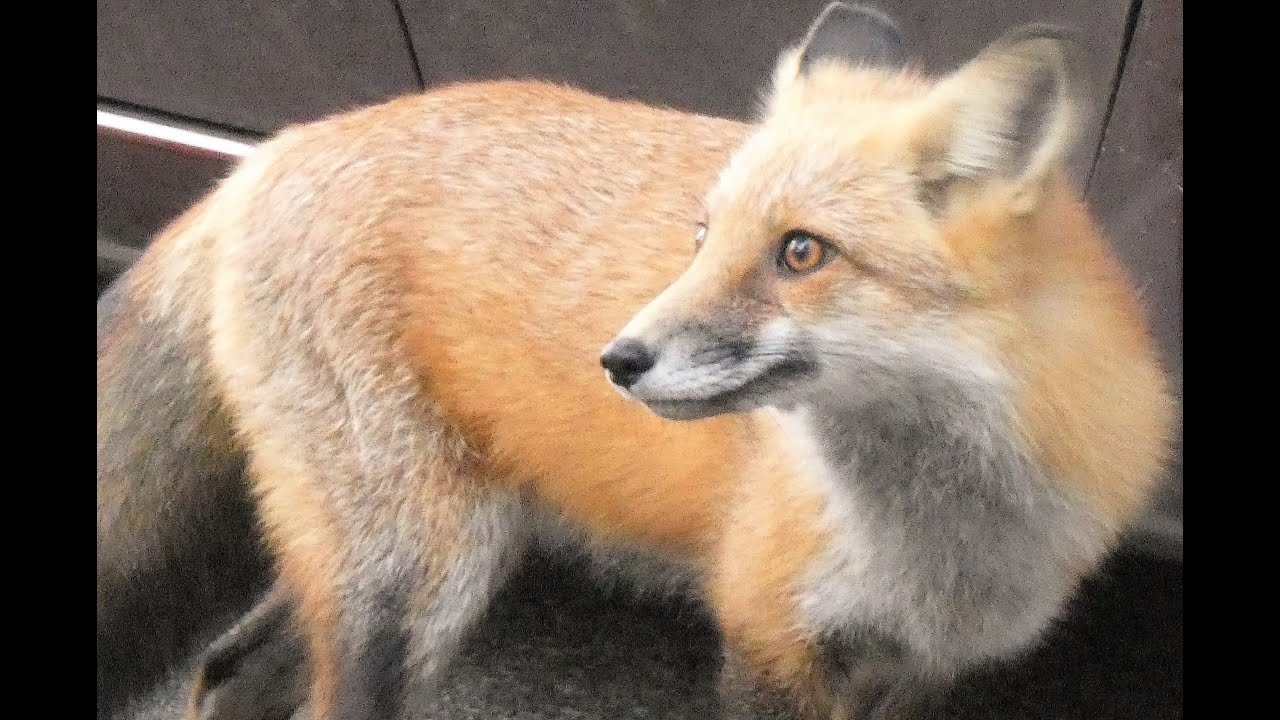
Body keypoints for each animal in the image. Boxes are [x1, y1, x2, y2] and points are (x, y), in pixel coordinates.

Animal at [97, 3, 1176, 719]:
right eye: (702, 237)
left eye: (800, 253)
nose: (615, 359)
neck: (943, 542)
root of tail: (281, 146)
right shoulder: (766, 637)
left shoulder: (920, 668)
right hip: (421, 579)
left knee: (227, 670)